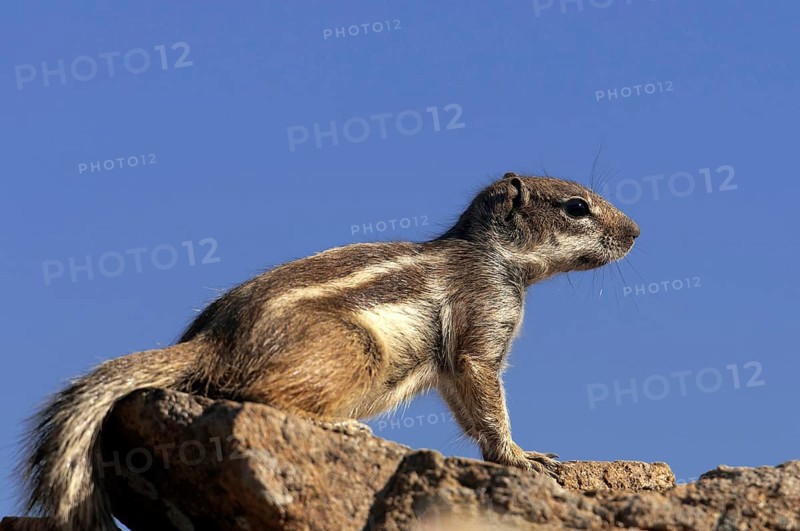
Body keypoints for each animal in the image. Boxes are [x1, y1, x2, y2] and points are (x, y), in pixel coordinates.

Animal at [18, 172, 640, 530]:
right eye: (576, 207)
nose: (636, 233)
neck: (495, 258)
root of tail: (208, 345)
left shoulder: (454, 366)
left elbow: (468, 409)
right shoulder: (480, 329)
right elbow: (487, 401)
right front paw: (521, 457)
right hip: (351, 349)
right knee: (254, 395)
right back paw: (341, 426)